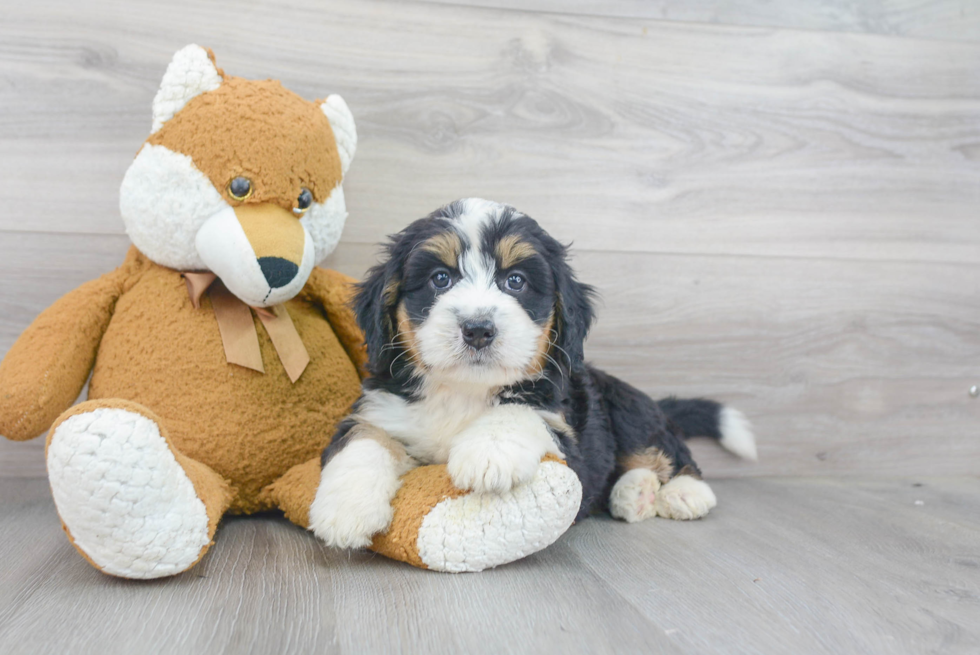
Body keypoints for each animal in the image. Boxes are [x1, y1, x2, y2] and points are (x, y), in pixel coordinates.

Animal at [310, 199, 756, 548]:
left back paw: (683, 493)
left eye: (516, 281)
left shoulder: (565, 430)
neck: (462, 391)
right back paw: (634, 493)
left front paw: (489, 453)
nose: (477, 328)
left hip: (627, 407)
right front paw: (346, 509)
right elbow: (363, 440)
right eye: (440, 278)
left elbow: (521, 411)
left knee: (667, 450)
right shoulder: (379, 407)